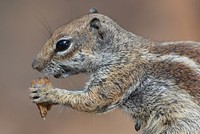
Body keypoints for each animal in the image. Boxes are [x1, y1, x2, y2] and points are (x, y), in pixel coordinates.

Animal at [28, 8, 200, 134]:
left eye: (62, 44)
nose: (34, 65)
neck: (120, 50)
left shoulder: (119, 74)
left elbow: (92, 100)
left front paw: (45, 92)